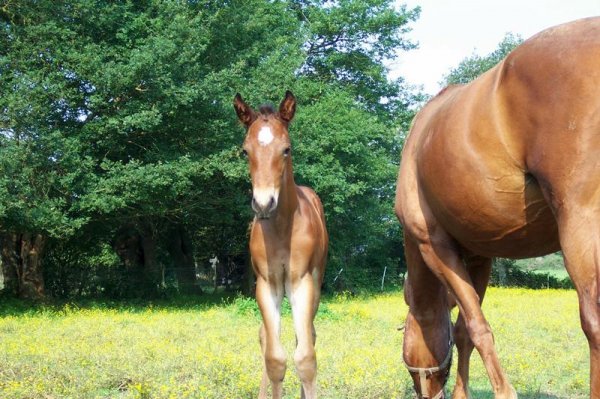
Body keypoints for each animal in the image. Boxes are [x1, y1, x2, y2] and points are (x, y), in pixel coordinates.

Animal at [234, 91, 328, 399]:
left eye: (286, 149)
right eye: (245, 151)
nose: (264, 204)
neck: (282, 229)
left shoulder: (301, 283)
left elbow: (306, 358)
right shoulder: (266, 284)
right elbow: (275, 358)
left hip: (316, 282)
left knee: (307, 336)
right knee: (266, 337)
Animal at [394, 17, 600, 398]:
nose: (425, 392)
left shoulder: (435, 246)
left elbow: (477, 326)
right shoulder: (479, 256)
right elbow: (463, 331)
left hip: (580, 222)